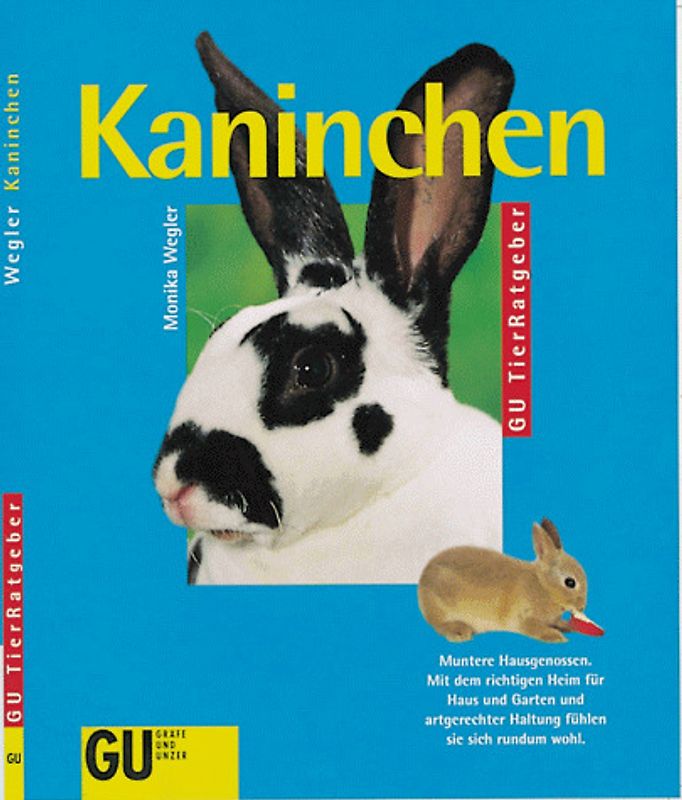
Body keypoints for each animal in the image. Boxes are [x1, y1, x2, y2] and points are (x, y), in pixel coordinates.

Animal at [417, 519, 589, 642]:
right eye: (570, 582)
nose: (582, 607)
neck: (543, 586)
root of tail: (423, 580)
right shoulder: (524, 619)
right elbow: (537, 629)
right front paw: (557, 637)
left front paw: (567, 627)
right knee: (439, 625)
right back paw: (460, 632)